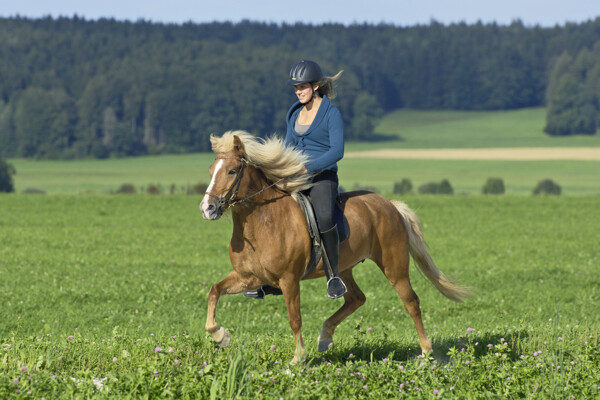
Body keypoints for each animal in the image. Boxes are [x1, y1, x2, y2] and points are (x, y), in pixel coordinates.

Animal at [199, 130, 466, 364]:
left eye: (232, 171)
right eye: (211, 170)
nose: (207, 208)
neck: (262, 222)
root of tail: (389, 205)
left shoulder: (289, 279)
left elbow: (294, 318)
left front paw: (298, 358)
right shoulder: (248, 277)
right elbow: (214, 291)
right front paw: (221, 336)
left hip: (394, 266)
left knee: (411, 301)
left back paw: (426, 352)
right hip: (344, 268)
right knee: (356, 298)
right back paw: (325, 337)